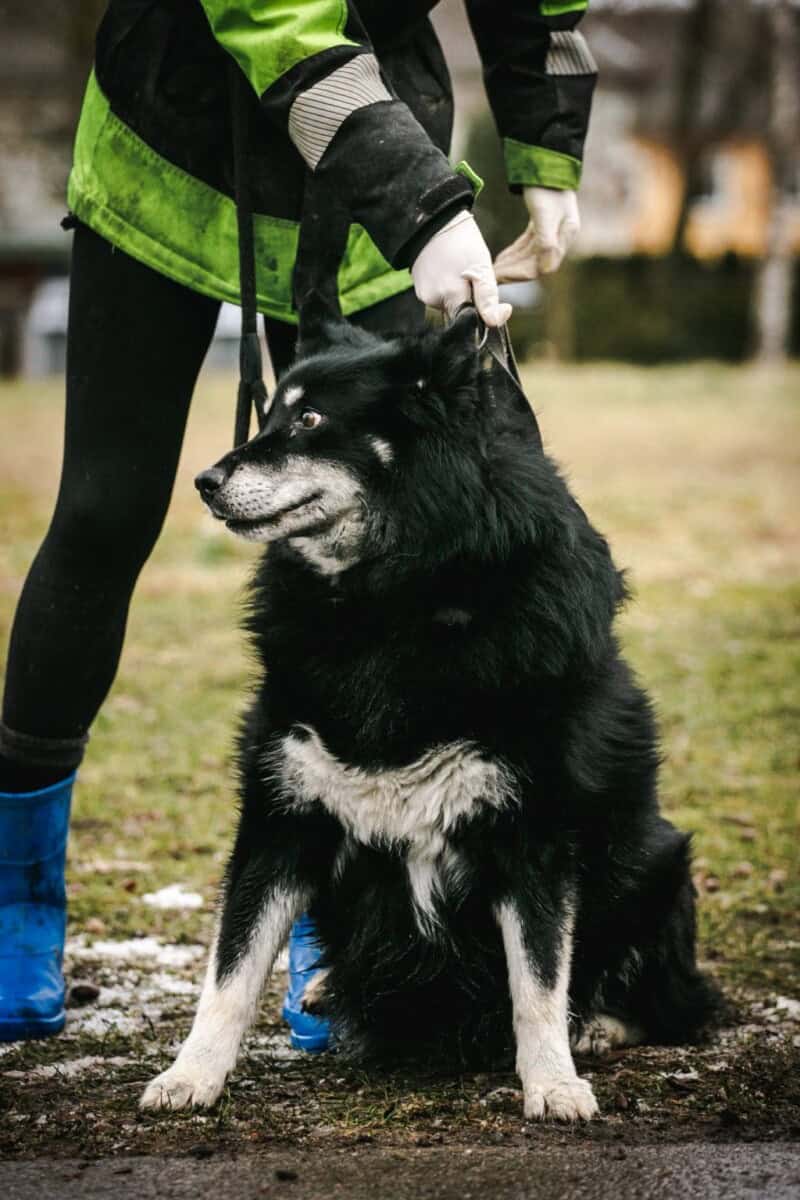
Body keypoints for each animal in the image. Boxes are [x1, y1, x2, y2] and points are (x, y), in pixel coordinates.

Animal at [140, 307, 717, 1121]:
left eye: (311, 420)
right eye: (270, 415)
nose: (204, 482)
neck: (389, 598)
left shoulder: (534, 832)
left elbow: (539, 980)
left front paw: (553, 1082)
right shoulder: (280, 819)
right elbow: (230, 972)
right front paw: (190, 1074)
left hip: (657, 866)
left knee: (672, 1001)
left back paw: (599, 1024)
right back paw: (325, 986)